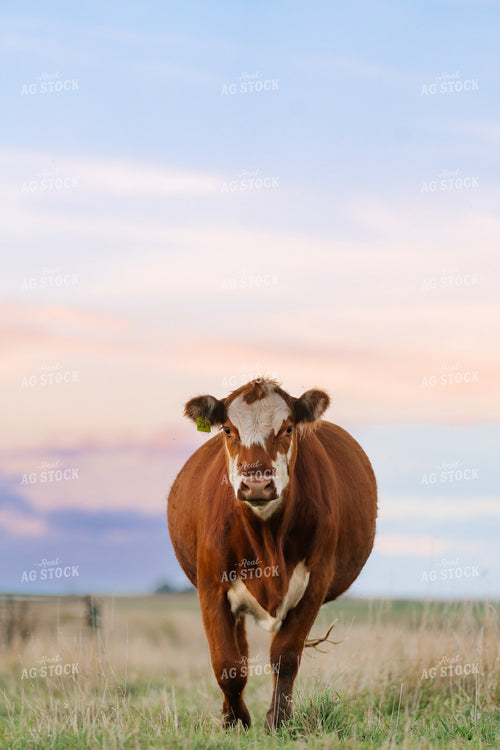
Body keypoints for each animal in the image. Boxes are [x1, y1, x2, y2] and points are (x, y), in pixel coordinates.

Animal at [167, 378, 377, 730]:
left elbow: (285, 656)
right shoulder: (211, 586)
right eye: (227, 429)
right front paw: (236, 722)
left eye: (288, 428)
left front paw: (277, 720)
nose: (256, 484)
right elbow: (227, 662)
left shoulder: (315, 582)